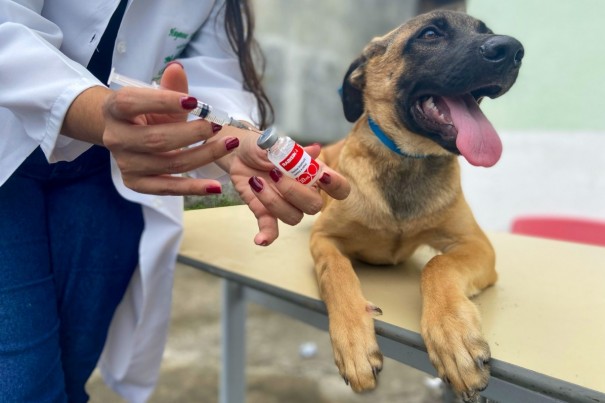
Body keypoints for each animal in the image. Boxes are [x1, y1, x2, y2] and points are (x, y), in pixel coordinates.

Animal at [310, 10, 520, 403]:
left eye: (486, 31)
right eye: (430, 34)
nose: (513, 49)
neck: (408, 160)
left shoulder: (476, 244)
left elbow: (437, 264)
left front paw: (452, 333)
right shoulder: (324, 238)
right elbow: (337, 272)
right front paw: (353, 339)